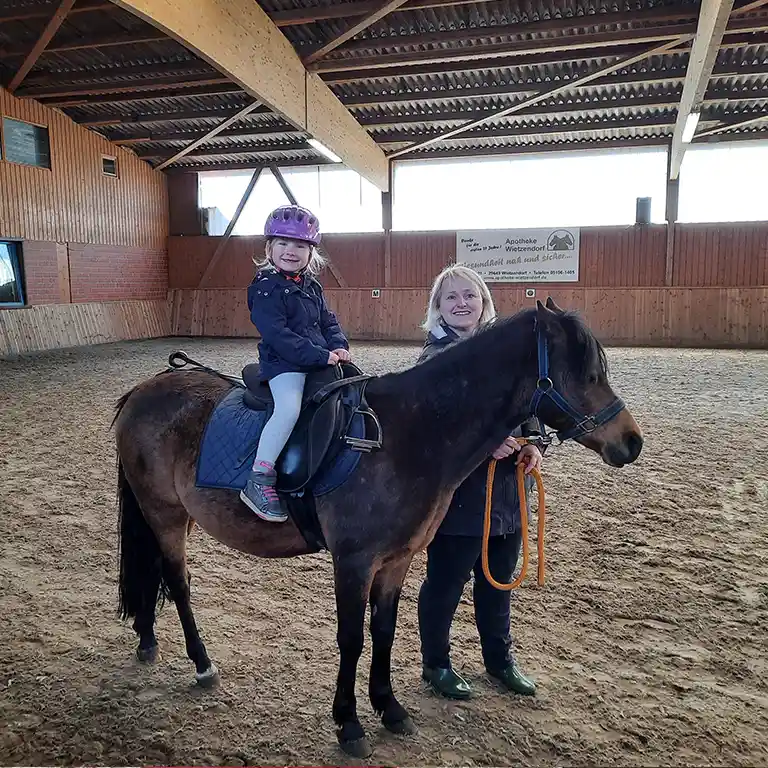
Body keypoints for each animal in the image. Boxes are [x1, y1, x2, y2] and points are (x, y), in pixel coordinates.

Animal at [113, 299, 643, 758]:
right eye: (587, 374)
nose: (631, 442)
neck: (410, 436)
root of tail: (143, 390)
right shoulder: (354, 561)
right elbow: (352, 638)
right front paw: (349, 724)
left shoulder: (396, 560)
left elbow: (383, 631)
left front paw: (390, 709)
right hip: (164, 512)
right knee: (177, 581)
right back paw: (201, 664)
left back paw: (147, 640)